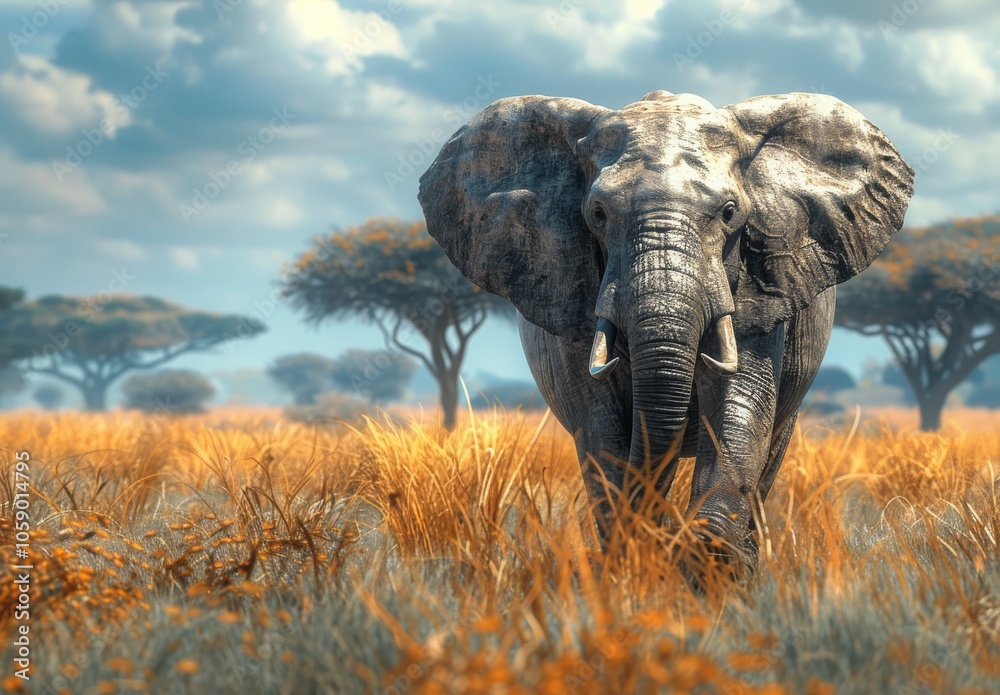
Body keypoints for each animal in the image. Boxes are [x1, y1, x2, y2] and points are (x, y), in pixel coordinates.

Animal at [417, 90, 913, 572]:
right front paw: (634, 556)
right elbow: (599, 421)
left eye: (730, 212)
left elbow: (739, 403)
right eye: (597, 213)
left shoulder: (763, 287)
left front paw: (711, 557)